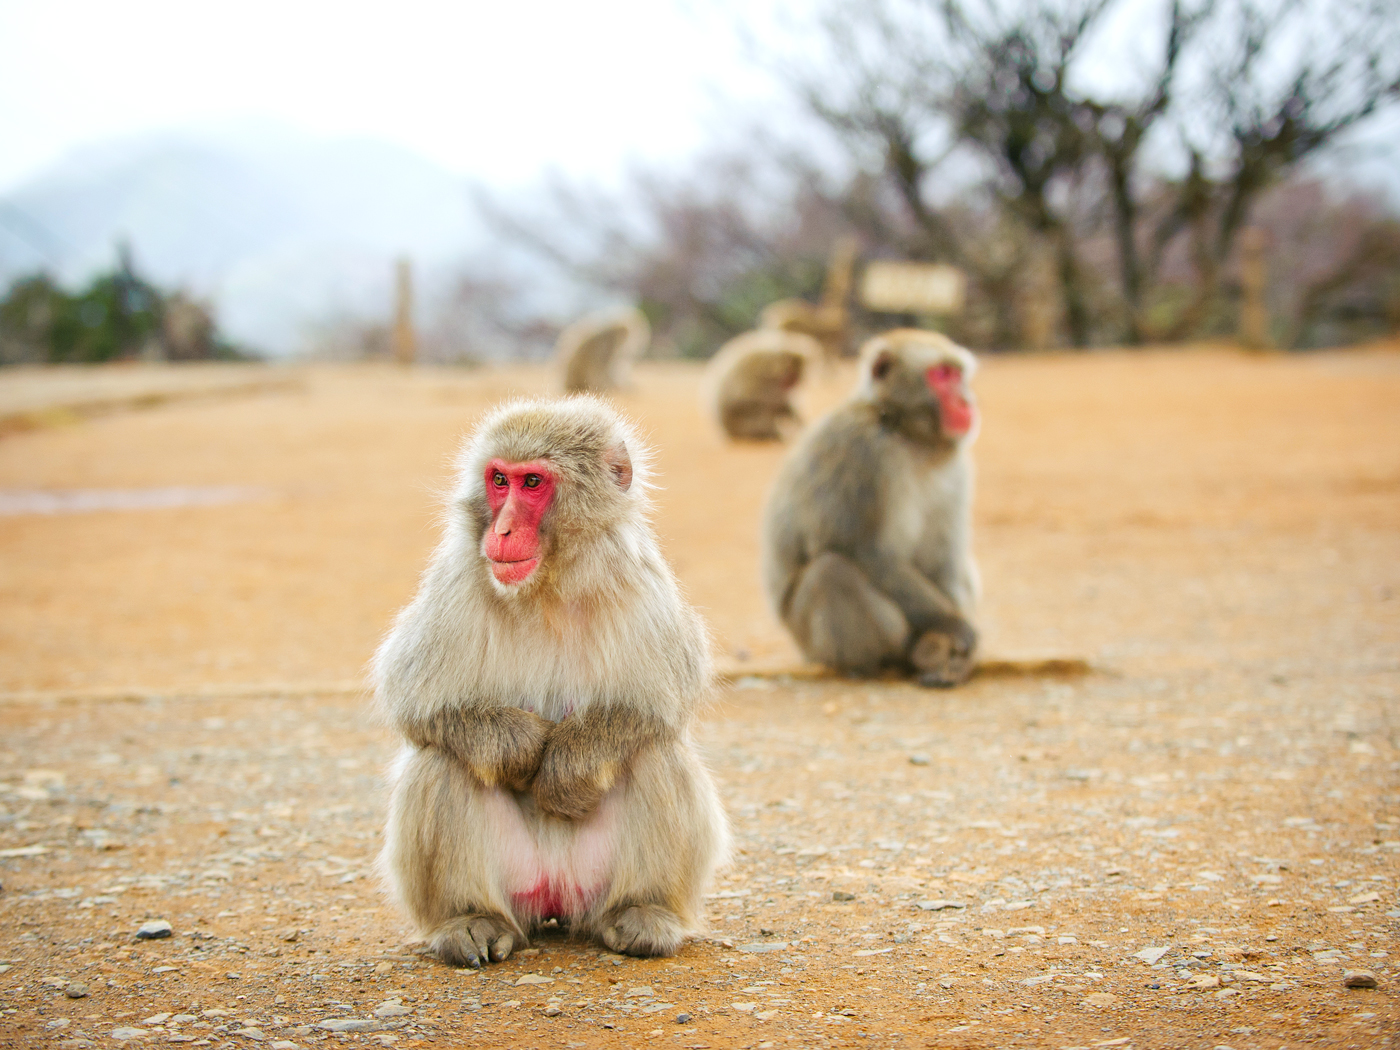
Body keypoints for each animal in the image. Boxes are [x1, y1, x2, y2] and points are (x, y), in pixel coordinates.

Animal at [374, 396, 728, 967]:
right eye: (499, 480)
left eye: (533, 482)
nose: (501, 532)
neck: (549, 586)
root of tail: (557, 897)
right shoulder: (457, 582)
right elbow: (414, 701)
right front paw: (521, 747)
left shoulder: (641, 584)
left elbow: (660, 703)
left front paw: (568, 766)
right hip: (516, 880)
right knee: (443, 759)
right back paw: (470, 918)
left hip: (594, 881)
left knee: (656, 751)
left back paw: (643, 910)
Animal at [761, 328, 981, 687]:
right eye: (941, 375)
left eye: (958, 375)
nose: (966, 401)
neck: (906, 434)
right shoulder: (861, 449)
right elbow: (864, 551)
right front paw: (953, 625)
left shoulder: (957, 468)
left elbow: (943, 559)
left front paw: (956, 649)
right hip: (810, 641)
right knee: (831, 571)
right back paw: (885, 661)